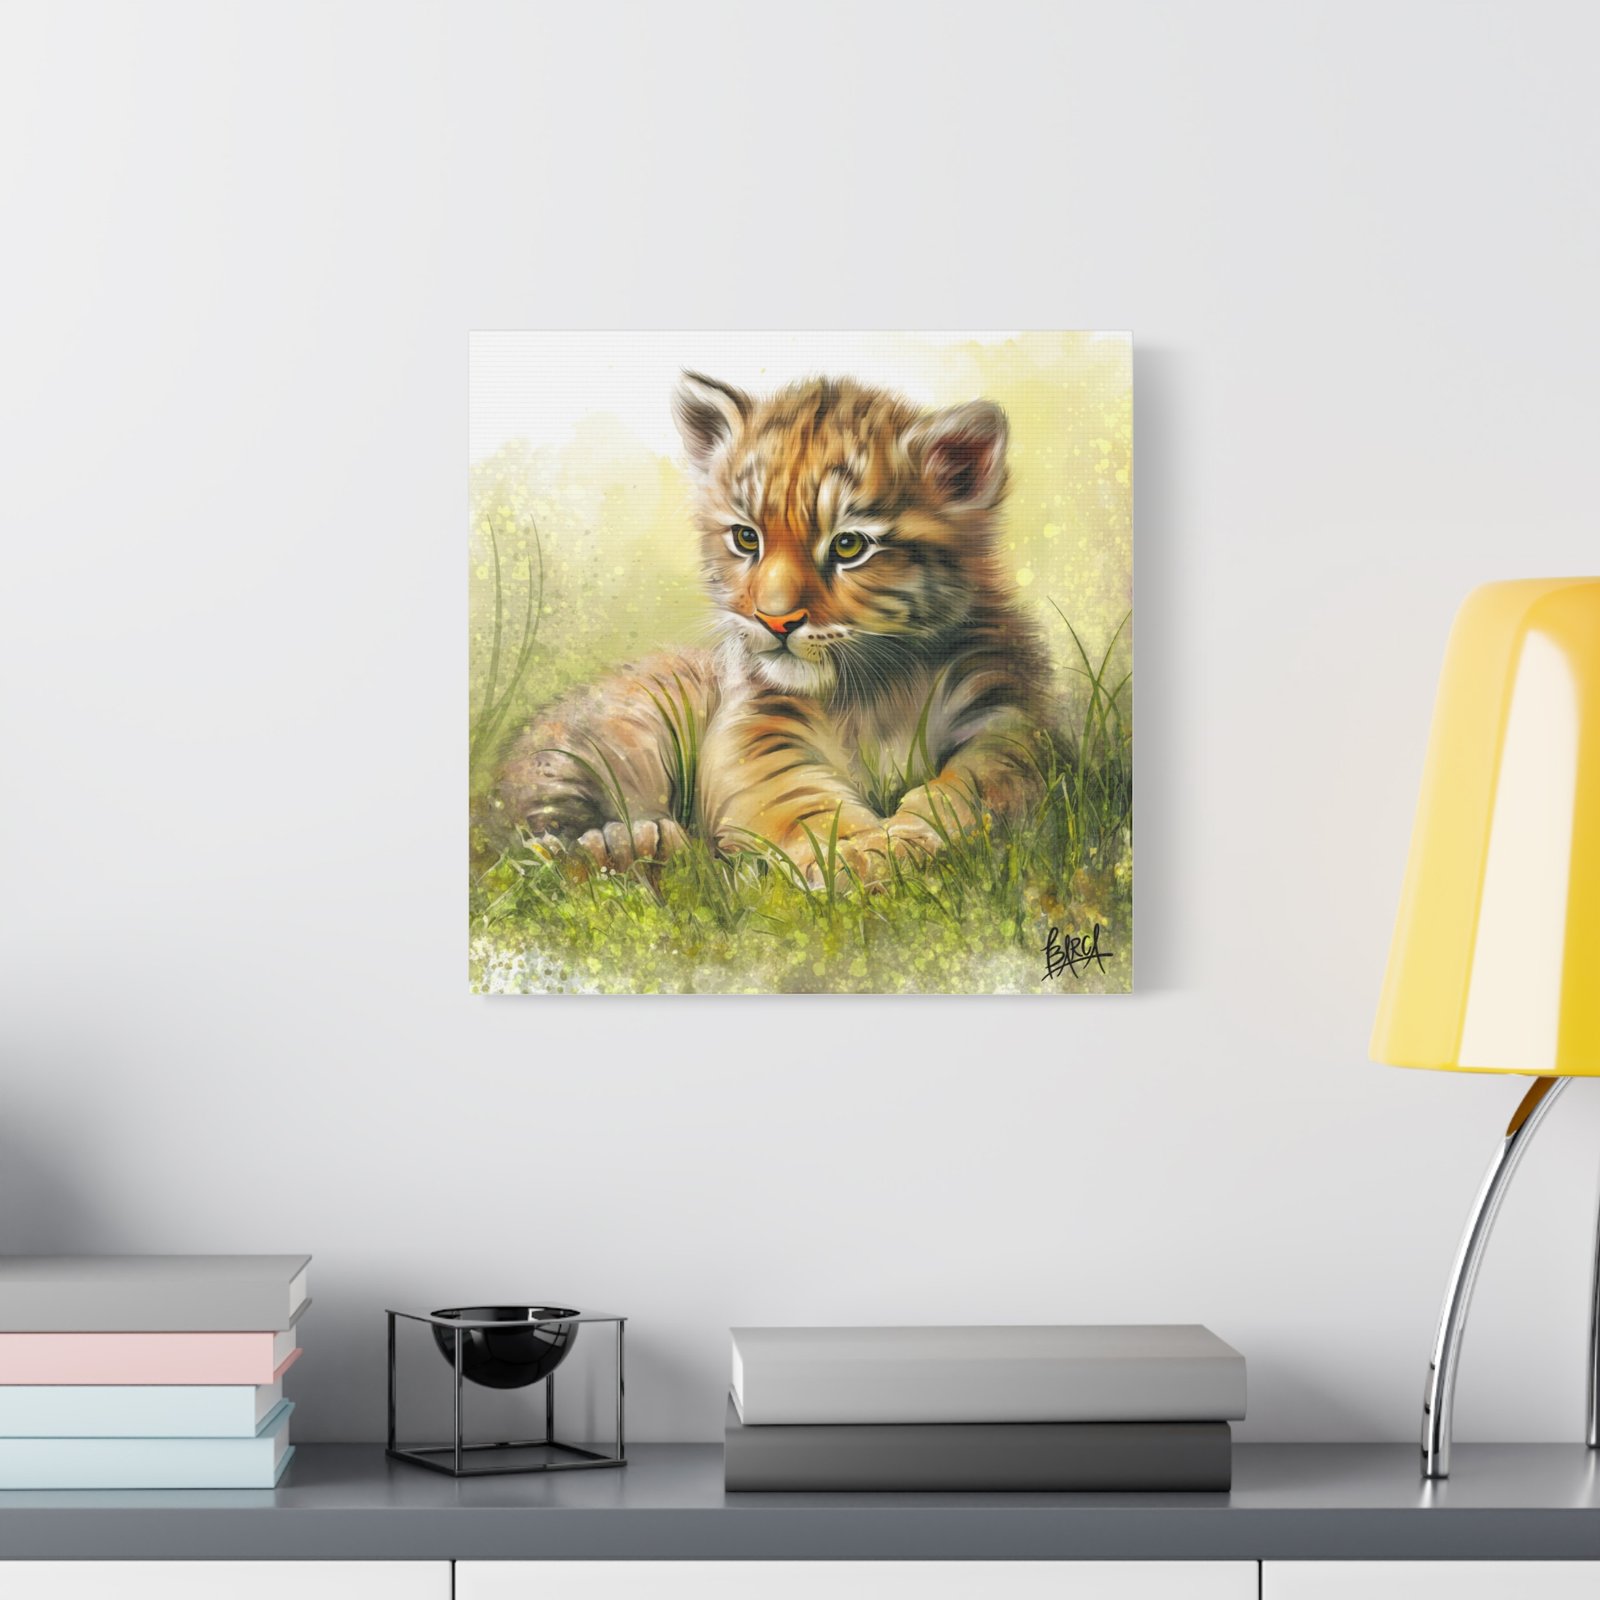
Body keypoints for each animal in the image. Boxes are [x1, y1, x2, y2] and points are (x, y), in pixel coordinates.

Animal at [481, 370, 1052, 888]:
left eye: (849, 545)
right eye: (746, 538)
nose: (774, 620)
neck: (875, 689)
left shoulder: (1002, 715)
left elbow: (979, 782)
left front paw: (907, 838)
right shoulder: (758, 724)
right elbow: (797, 796)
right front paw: (858, 854)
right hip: (589, 748)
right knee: (535, 842)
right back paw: (634, 845)